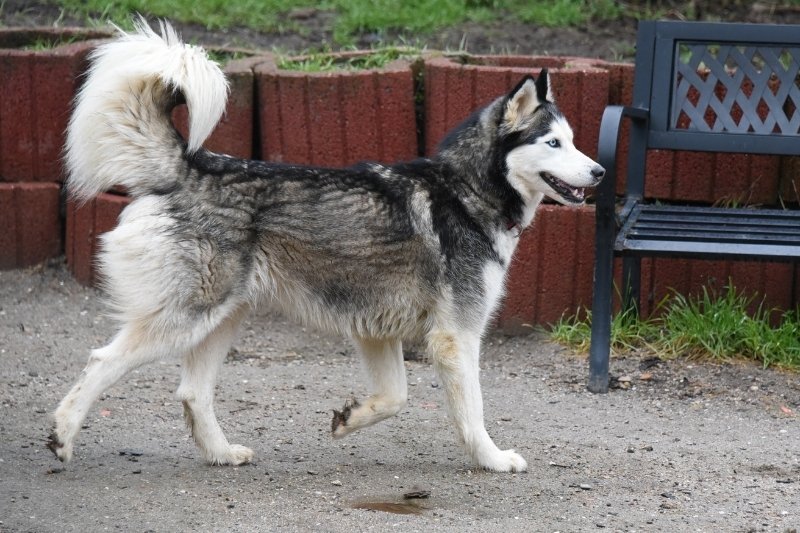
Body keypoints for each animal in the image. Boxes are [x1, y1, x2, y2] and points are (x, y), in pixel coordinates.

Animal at [49, 20, 604, 472]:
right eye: (553, 143)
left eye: (574, 140)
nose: (599, 171)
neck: (465, 191)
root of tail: (190, 166)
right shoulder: (456, 337)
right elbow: (472, 412)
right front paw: (492, 458)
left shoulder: (377, 330)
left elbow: (395, 397)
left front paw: (349, 418)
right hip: (186, 317)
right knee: (101, 361)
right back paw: (62, 435)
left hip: (223, 318)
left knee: (192, 392)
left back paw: (221, 453)